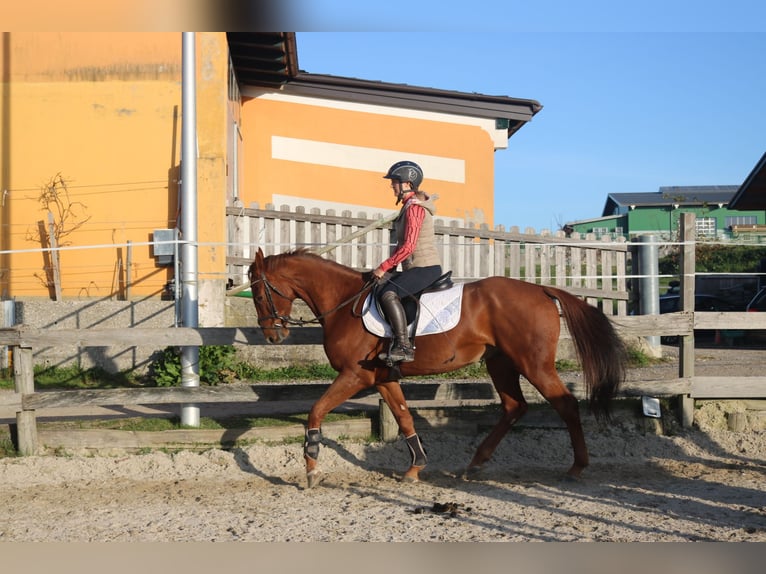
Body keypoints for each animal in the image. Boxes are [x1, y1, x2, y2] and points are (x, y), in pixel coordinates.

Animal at [249, 249, 628, 490]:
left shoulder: (354, 376)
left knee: (566, 405)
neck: (344, 303)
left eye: (258, 292)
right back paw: (475, 463)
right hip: (500, 362)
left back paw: (576, 468)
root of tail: (541, 289)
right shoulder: (382, 378)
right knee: (514, 407)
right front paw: (416, 467)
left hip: (533, 364)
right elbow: (404, 417)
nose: (272, 336)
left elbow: (316, 411)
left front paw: (312, 467)